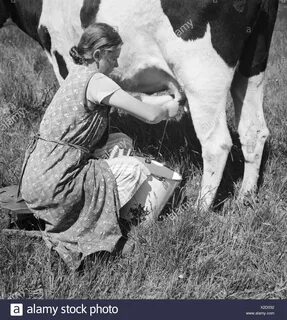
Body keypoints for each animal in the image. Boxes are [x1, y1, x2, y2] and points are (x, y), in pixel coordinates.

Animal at [0, 0, 280, 210]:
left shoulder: (63, 59)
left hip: (202, 73)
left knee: (217, 142)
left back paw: (201, 208)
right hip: (253, 63)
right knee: (253, 131)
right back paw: (246, 198)